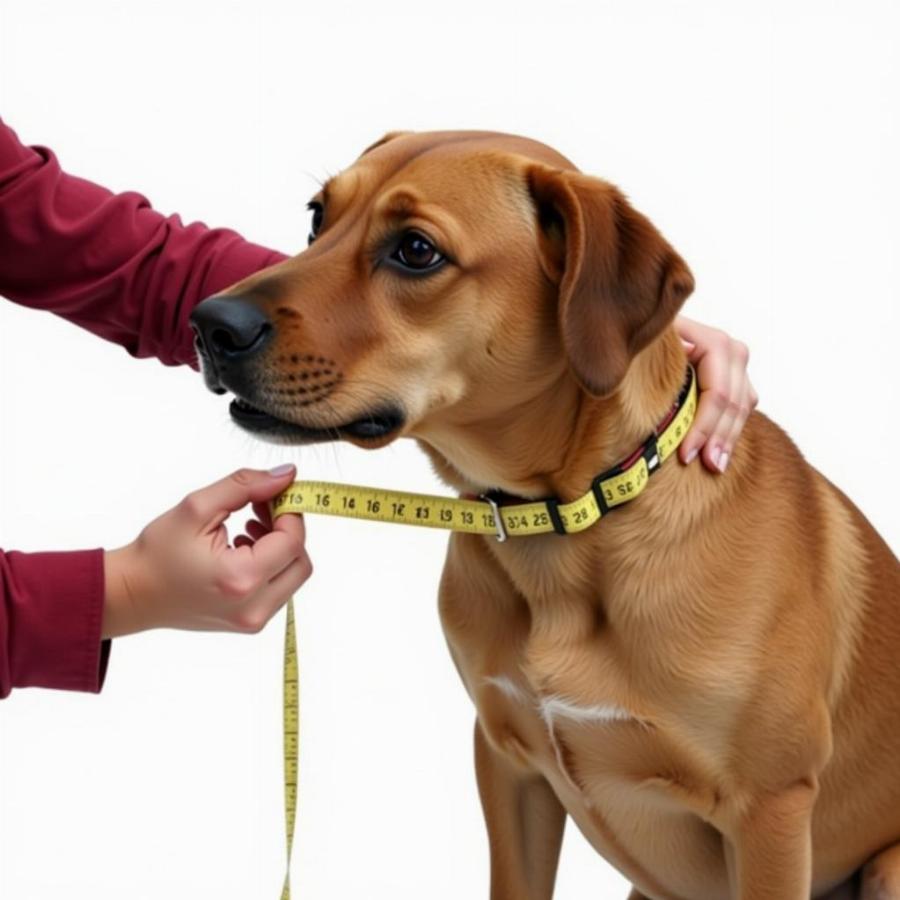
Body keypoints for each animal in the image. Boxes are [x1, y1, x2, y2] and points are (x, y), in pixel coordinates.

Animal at [190, 130, 900, 896]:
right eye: (318, 218)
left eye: (416, 250)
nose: (209, 323)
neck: (568, 523)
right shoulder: (509, 766)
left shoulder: (770, 810)